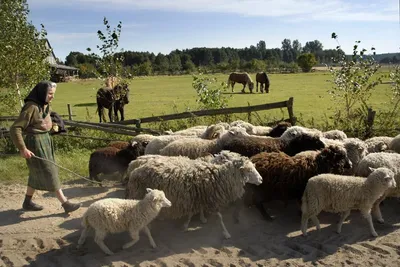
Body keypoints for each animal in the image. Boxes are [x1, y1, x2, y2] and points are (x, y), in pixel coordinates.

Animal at [125, 151, 262, 241]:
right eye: (249, 170)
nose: (261, 180)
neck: (217, 176)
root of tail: (135, 169)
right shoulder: (207, 197)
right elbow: (219, 217)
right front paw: (226, 233)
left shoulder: (197, 196)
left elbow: (194, 211)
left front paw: (199, 220)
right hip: (138, 193)